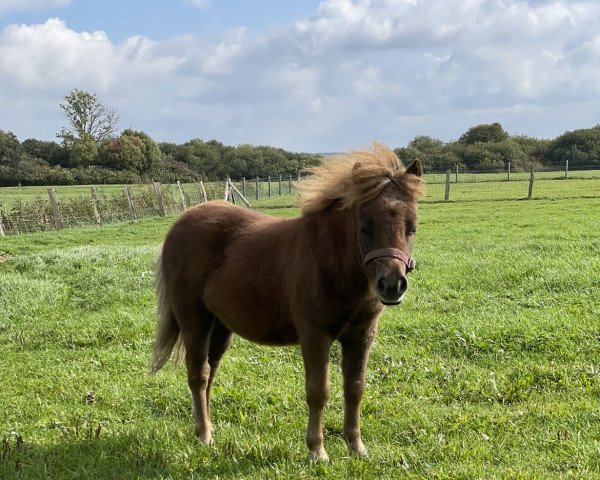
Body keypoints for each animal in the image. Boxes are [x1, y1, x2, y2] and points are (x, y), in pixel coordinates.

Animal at [152, 143, 424, 462]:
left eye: (412, 227)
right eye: (364, 226)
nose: (392, 285)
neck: (332, 263)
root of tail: (180, 223)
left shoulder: (362, 335)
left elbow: (355, 389)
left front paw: (356, 446)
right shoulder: (315, 335)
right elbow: (318, 391)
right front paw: (317, 451)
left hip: (220, 326)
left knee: (210, 372)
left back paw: (204, 429)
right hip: (194, 319)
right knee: (198, 373)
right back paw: (205, 435)